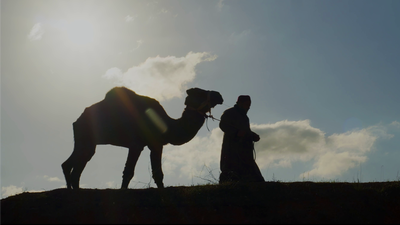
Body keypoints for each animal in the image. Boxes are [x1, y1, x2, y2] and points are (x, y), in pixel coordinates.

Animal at [63, 87, 225, 189]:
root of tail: (77, 121)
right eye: (200, 92)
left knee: (71, 165)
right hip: (86, 137)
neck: (168, 125)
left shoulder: (156, 144)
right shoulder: (136, 144)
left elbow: (158, 174)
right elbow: (128, 172)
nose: (219, 95)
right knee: (75, 168)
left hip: (87, 142)